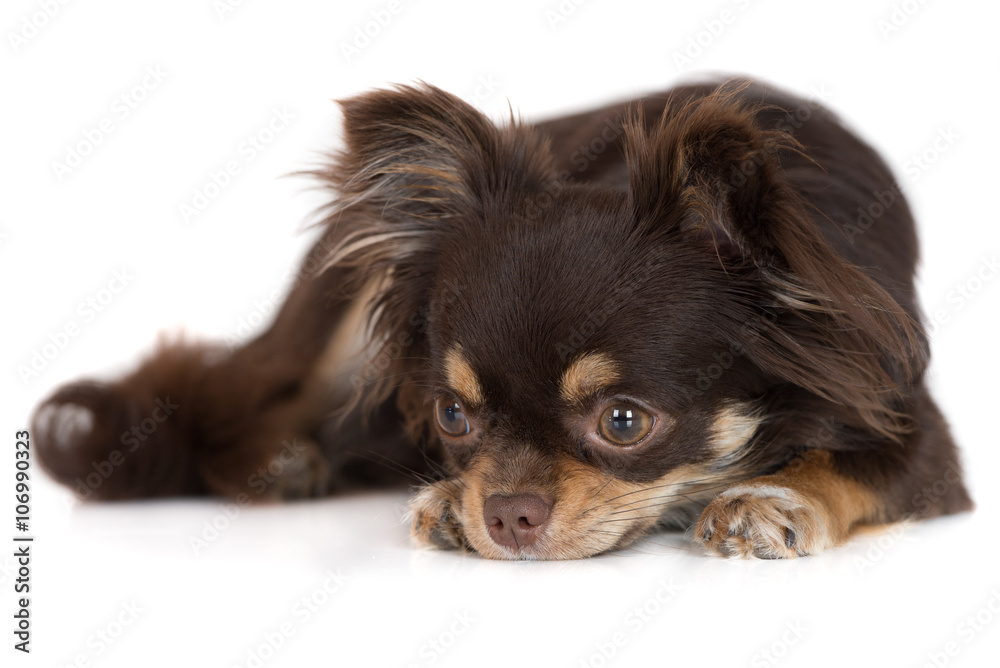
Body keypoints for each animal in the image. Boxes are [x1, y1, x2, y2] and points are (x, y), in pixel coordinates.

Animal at [31, 77, 968, 560]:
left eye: (623, 422)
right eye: (453, 416)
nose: (507, 513)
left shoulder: (909, 423)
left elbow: (850, 463)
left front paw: (773, 496)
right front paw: (453, 493)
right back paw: (284, 459)